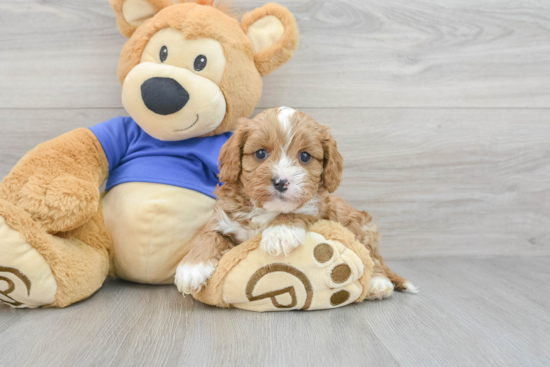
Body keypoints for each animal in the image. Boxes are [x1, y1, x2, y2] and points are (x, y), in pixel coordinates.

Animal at [177, 106, 418, 300]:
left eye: (305, 156)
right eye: (261, 153)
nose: (281, 182)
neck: (265, 210)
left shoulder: (317, 207)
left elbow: (299, 210)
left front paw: (280, 233)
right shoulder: (225, 217)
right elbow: (208, 235)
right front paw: (191, 268)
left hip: (361, 226)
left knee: (372, 259)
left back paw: (378, 283)